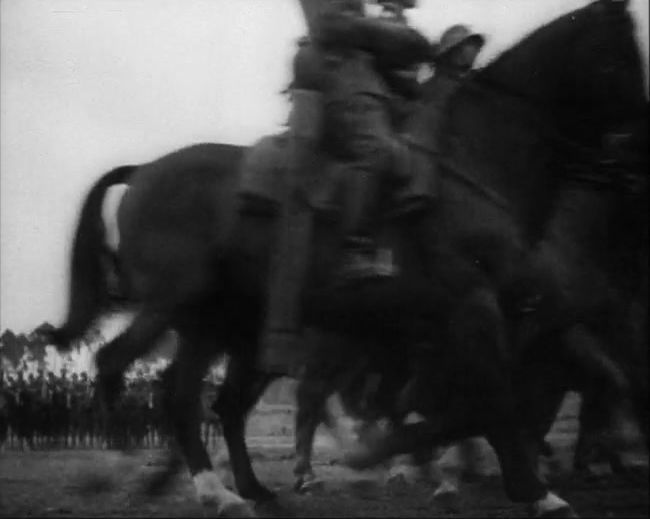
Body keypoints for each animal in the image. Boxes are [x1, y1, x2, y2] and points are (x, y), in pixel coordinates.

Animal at [45, 2, 644, 516]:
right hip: (178, 307)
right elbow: (488, 397)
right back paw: (179, 483)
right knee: (131, 372)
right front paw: (533, 491)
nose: (635, 140)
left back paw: (249, 489)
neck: (476, 158)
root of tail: (145, 170)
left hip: (222, 327)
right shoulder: (473, 309)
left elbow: (486, 399)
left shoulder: (500, 323)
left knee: (212, 401)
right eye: (620, 56)